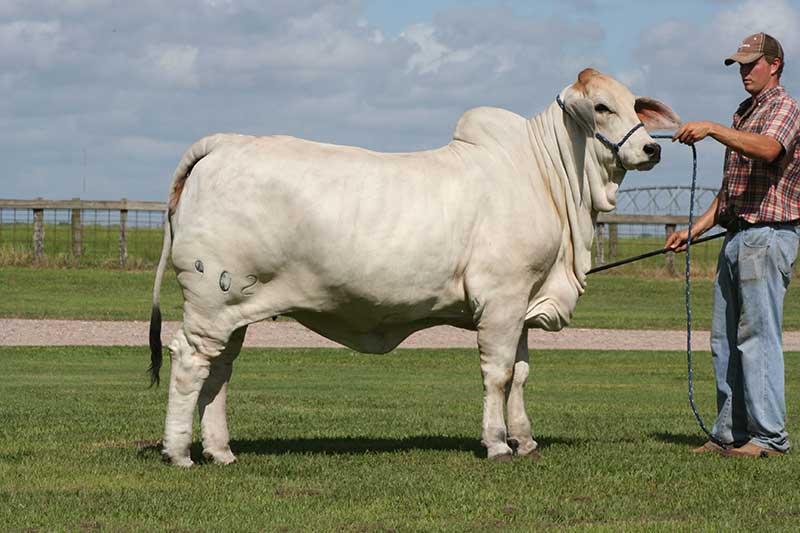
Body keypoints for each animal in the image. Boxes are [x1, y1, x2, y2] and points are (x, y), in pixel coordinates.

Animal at [149, 68, 680, 466]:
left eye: (634, 105)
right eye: (602, 107)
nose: (652, 149)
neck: (547, 175)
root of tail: (224, 144)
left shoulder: (523, 303)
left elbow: (522, 373)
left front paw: (525, 439)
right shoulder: (501, 298)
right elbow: (499, 373)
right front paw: (497, 443)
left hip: (236, 310)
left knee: (219, 371)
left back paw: (220, 450)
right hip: (210, 302)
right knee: (189, 362)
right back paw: (179, 452)